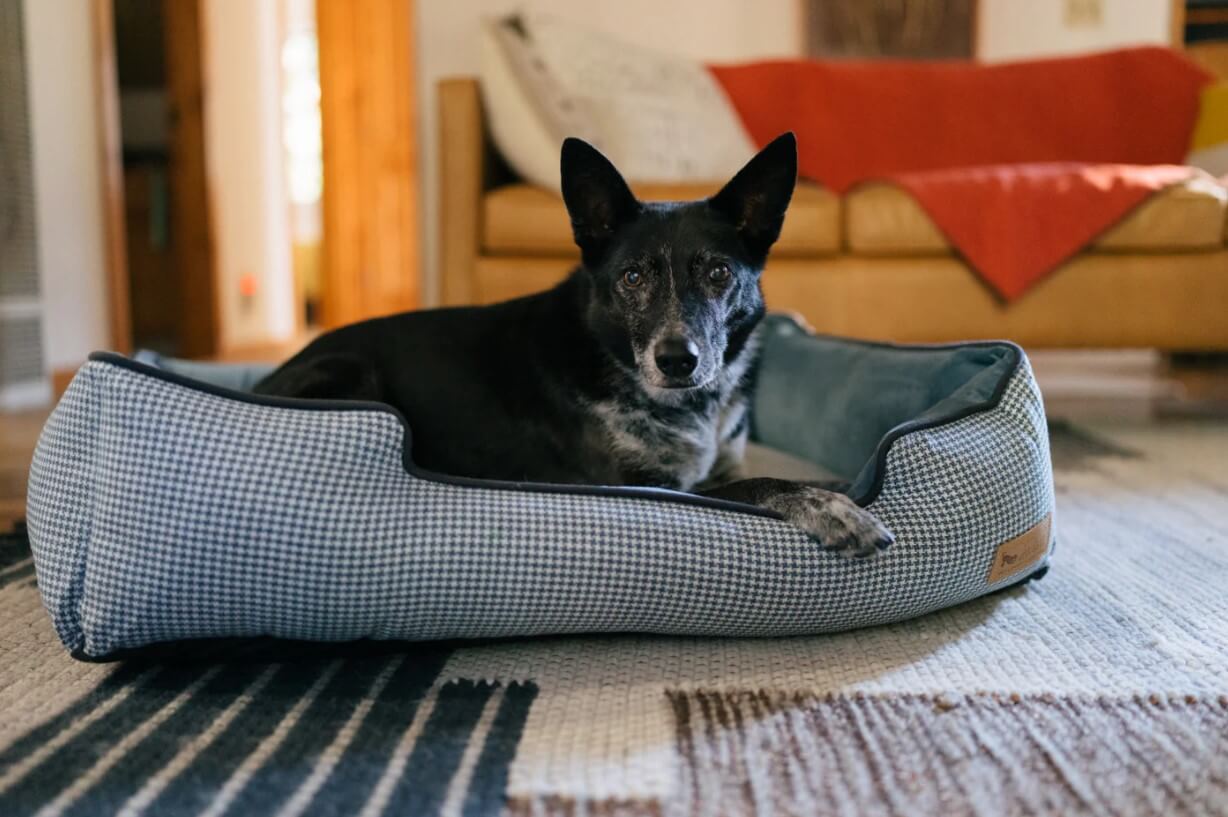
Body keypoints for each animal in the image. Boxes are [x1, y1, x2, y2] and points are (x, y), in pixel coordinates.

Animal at [256, 133, 893, 557]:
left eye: (718, 274)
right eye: (631, 277)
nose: (677, 361)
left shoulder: (714, 464)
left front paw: (843, 486)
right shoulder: (646, 488)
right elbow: (756, 485)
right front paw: (832, 509)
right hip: (348, 369)